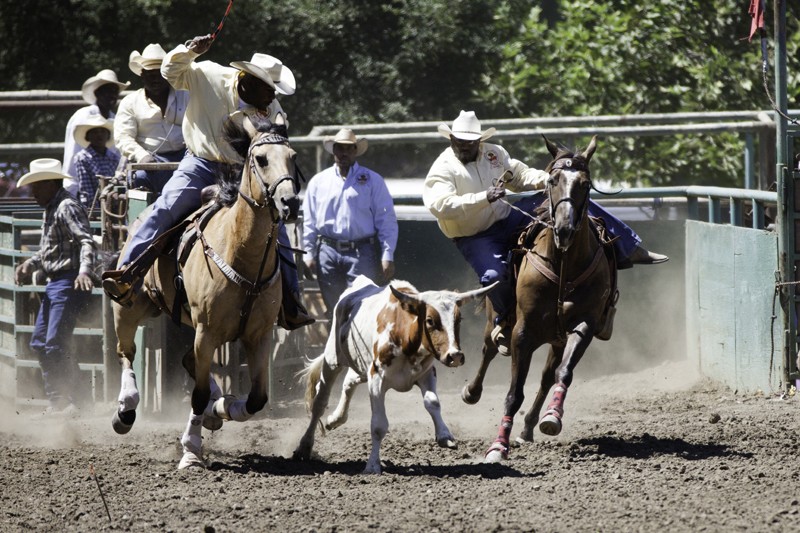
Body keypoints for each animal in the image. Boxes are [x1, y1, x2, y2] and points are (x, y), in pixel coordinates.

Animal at [109, 114, 300, 468]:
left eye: (293, 157)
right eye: (261, 159)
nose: (289, 202)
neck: (241, 253)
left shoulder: (259, 335)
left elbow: (256, 399)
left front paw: (221, 407)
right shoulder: (207, 331)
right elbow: (196, 395)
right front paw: (191, 450)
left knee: (188, 361)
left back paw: (212, 411)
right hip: (132, 307)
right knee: (126, 352)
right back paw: (125, 410)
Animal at [462, 136, 620, 462]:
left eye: (585, 183)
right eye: (552, 180)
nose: (565, 229)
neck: (563, 266)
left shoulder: (583, 326)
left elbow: (564, 373)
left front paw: (552, 418)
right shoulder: (522, 333)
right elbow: (513, 394)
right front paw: (498, 446)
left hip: (557, 338)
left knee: (548, 375)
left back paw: (530, 426)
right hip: (496, 321)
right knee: (488, 349)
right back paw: (472, 392)